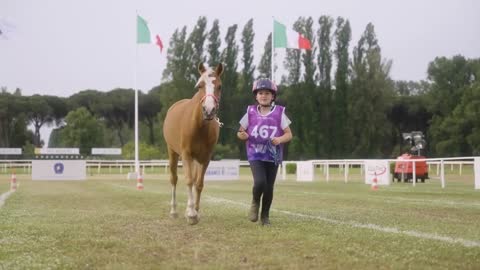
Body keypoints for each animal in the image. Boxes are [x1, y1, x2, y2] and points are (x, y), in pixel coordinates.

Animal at [162, 62, 224, 225]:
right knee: (174, 179)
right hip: (172, 152)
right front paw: (190, 213)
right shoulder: (186, 154)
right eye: (200, 85)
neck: (198, 126)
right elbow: (189, 180)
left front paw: (196, 211)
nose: (209, 110)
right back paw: (174, 211)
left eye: (219, 86)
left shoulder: (206, 158)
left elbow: (199, 183)